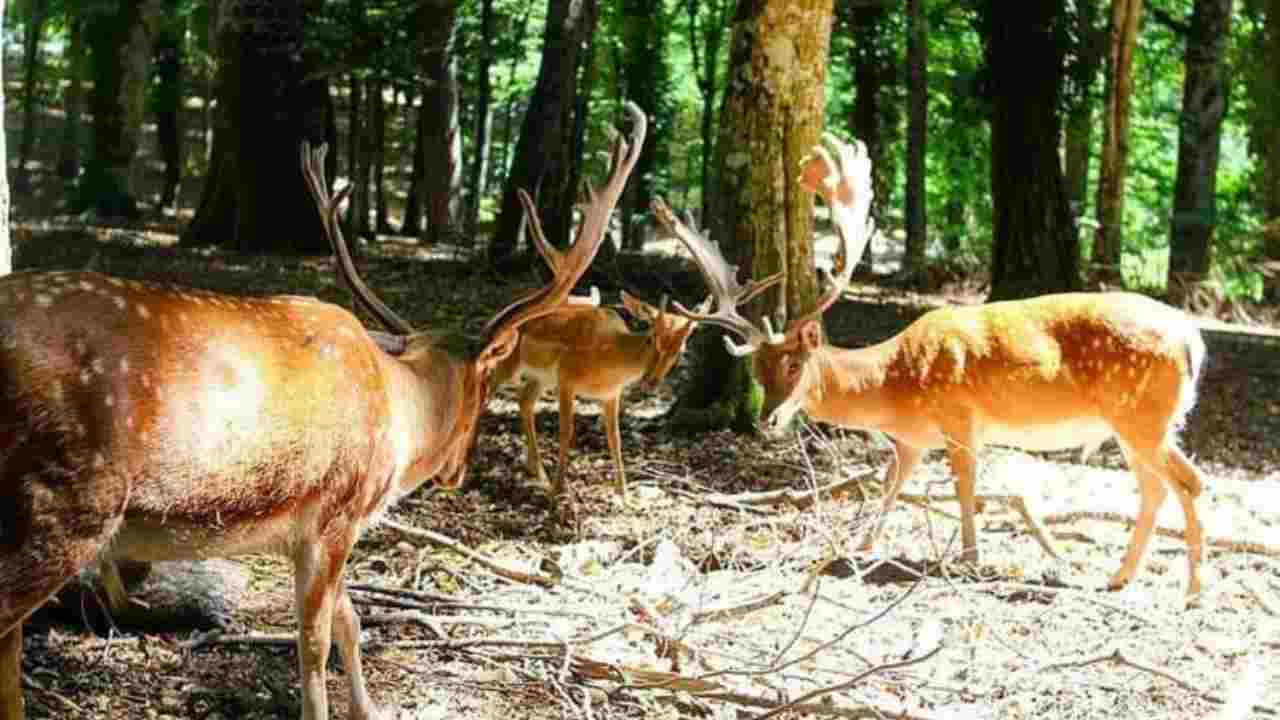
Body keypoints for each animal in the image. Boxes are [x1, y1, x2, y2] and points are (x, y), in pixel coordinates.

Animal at [2, 102, 650, 717]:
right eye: (487, 384)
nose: (459, 470)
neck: (401, 419)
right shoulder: (336, 510)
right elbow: (313, 641)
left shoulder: (315, 532)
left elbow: (350, 621)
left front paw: (370, 708)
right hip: (61, 502)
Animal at [655, 131, 1203, 597]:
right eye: (757, 371)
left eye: (794, 365)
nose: (768, 418)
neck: (894, 385)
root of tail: (1192, 339)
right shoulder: (912, 441)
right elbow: (888, 486)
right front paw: (863, 546)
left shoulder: (958, 415)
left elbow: (965, 488)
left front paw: (969, 557)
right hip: (1139, 422)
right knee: (1155, 488)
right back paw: (1120, 576)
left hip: (1142, 414)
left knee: (1187, 481)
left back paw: (1192, 590)